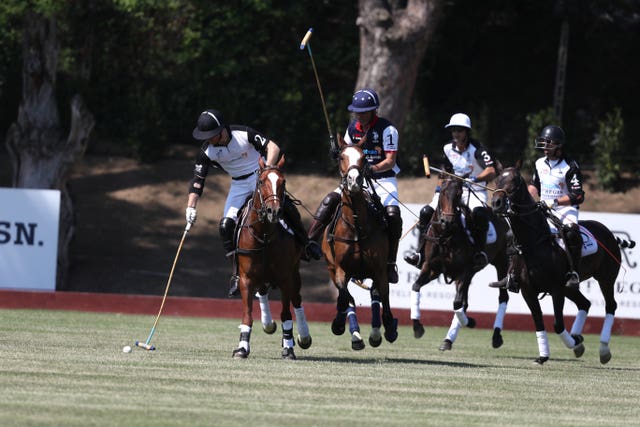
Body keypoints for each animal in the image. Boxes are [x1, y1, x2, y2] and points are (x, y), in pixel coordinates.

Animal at [232, 155, 312, 360]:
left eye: (283, 182)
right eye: (261, 181)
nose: (273, 211)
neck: (265, 235)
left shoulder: (285, 278)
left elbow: (286, 314)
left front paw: (289, 348)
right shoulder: (245, 278)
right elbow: (247, 314)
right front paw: (242, 348)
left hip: (294, 274)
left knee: (297, 300)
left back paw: (302, 337)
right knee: (263, 292)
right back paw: (268, 324)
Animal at [322, 137, 398, 352]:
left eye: (364, 158)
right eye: (341, 157)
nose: (354, 180)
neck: (356, 225)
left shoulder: (379, 269)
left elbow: (384, 296)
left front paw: (389, 328)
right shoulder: (340, 269)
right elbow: (345, 297)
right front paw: (340, 325)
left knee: (375, 294)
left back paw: (376, 332)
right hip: (332, 268)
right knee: (349, 297)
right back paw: (353, 333)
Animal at [410, 177, 510, 352]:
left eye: (459, 193)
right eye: (443, 192)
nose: (447, 221)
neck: (445, 237)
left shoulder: (463, 271)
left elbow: (457, 303)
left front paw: (470, 322)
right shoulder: (431, 268)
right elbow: (416, 286)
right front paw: (417, 328)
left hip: (501, 263)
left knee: (503, 297)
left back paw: (496, 336)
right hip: (472, 273)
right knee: (465, 301)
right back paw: (448, 340)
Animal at [490, 166, 632, 364]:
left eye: (514, 181)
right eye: (497, 180)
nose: (496, 203)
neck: (534, 240)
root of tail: (609, 233)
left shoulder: (556, 288)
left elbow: (557, 324)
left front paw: (574, 343)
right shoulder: (527, 290)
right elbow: (538, 321)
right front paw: (545, 355)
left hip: (606, 278)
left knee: (610, 306)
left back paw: (603, 350)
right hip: (570, 287)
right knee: (585, 303)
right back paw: (578, 338)